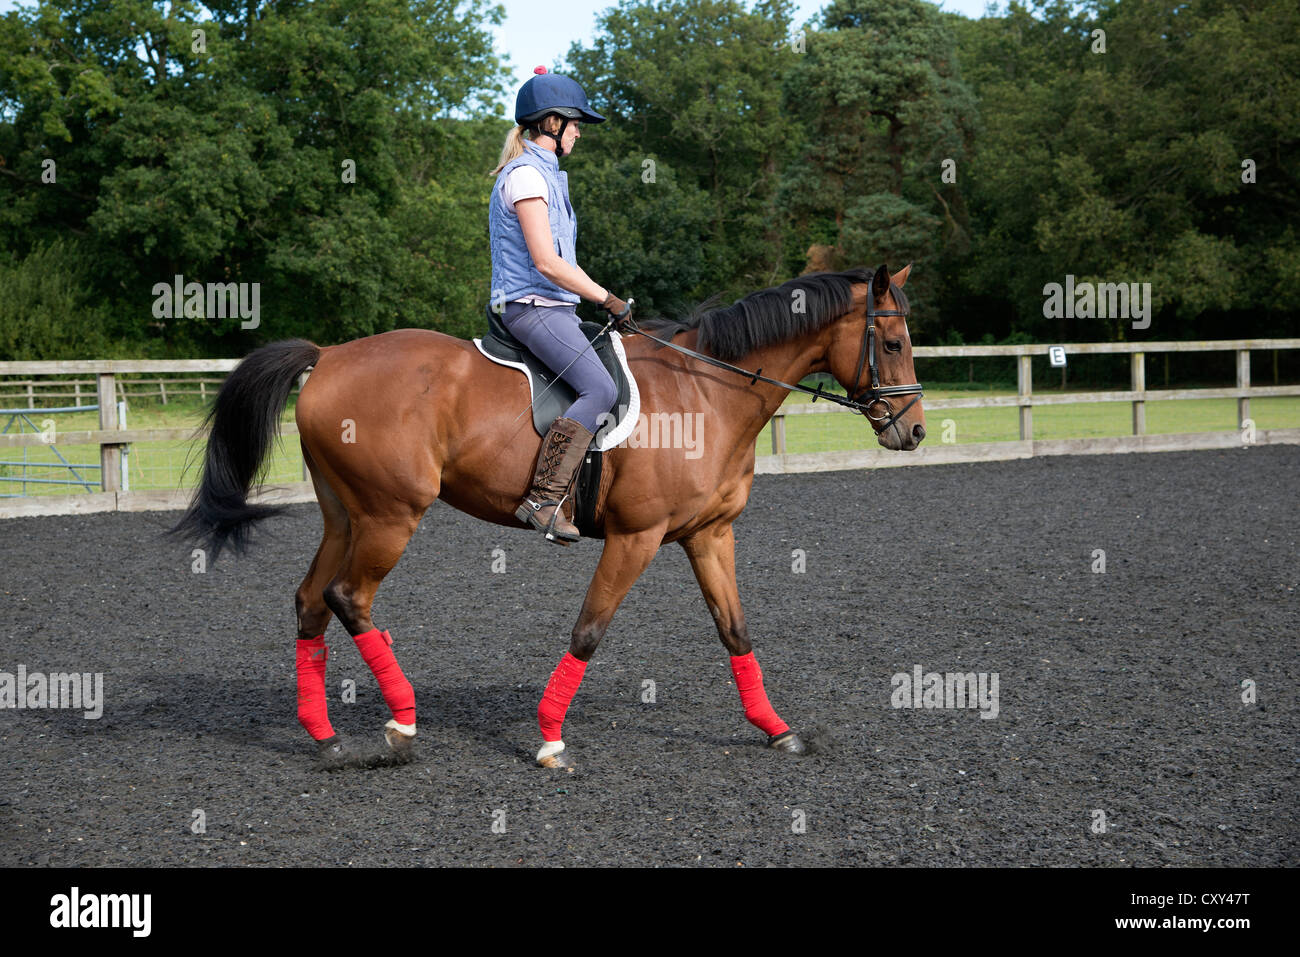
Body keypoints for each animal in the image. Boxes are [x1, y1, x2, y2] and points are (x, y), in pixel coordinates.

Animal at [172, 261, 925, 769]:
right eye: (891, 344)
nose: (914, 432)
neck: (706, 393)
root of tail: (328, 356)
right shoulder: (636, 537)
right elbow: (589, 630)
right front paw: (551, 738)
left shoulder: (709, 534)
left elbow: (734, 630)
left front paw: (777, 729)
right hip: (391, 516)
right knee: (348, 596)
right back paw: (402, 725)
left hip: (345, 516)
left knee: (310, 602)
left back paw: (326, 738)